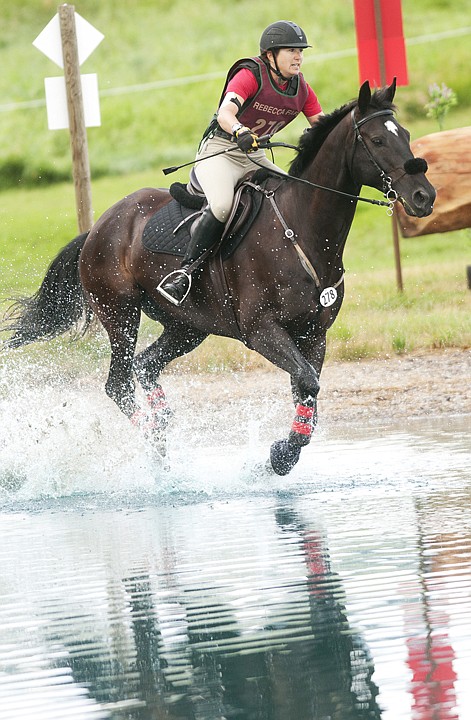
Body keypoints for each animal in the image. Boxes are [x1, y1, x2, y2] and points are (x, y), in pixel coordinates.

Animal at [1, 81, 436, 476]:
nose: (424, 196)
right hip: (120, 313)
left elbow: (306, 391)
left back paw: (162, 430)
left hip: (187, 326)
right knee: (119, 382)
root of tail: (98, 227)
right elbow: (308, 384)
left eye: (406, 134)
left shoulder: (314, 334)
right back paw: (155, 446)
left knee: (145, 366)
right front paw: (282, 454)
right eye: (377, 140)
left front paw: (284, 454)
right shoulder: (262, 330)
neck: (301, 230)